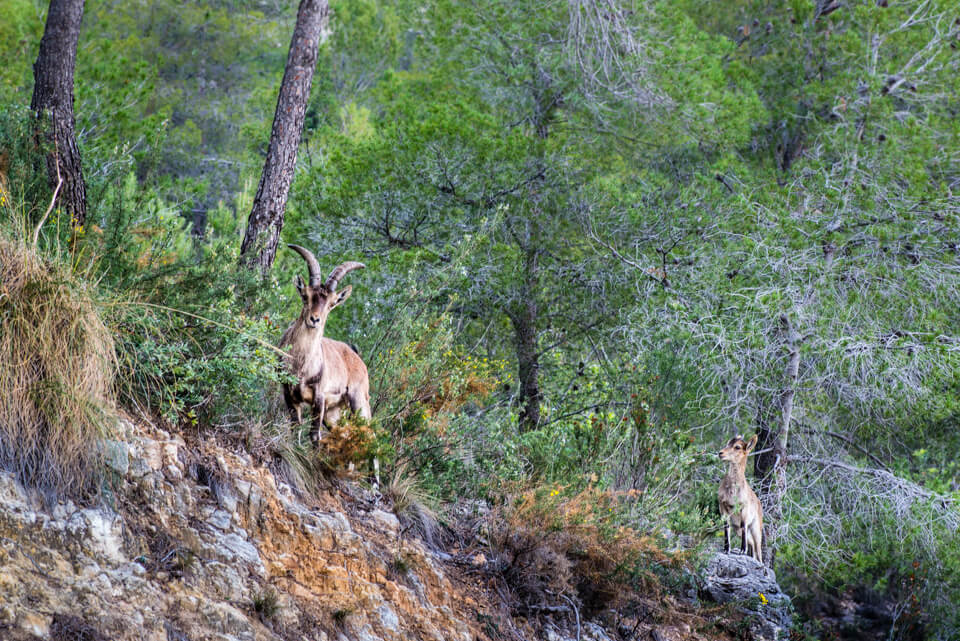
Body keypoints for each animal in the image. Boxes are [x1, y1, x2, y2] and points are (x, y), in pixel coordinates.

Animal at [280, 244, 371, 444]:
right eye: (305, 296)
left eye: (331, 303)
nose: (314, 320)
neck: (302, 365)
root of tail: (358, 359)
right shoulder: (289, 394)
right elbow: (295, 428)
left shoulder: (319, 398)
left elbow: (315, 435)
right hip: (334, 413)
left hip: (359, 401)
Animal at [718, 434, 763, 563]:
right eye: (728, 443)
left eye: (737, 447)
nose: (720, 453)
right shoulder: (723, 506)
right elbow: (726, 527)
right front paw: (726, 549)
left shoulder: (744, 508)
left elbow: (744, 525)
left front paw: (742, 550)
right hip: (737, 529)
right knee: (752, 544)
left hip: (756, 528)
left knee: (758, 549)